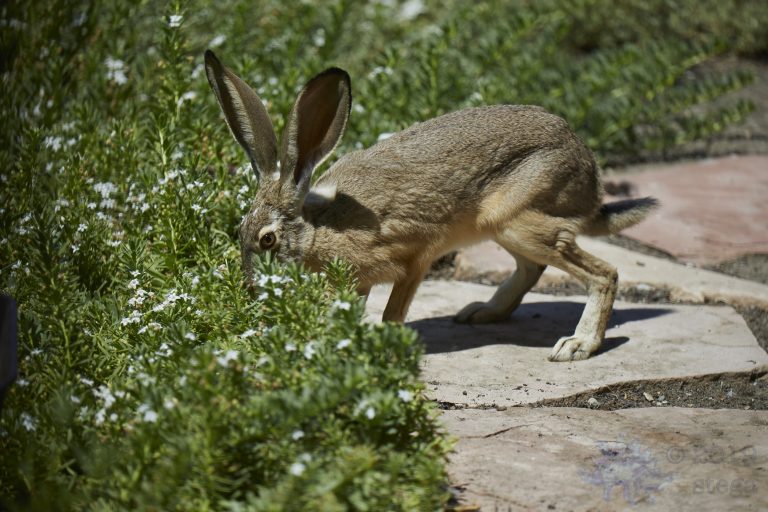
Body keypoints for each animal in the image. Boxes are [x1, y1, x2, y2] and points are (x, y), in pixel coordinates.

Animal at [204, 50, 657, 361]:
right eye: (239, 232)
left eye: (267, 240)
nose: (251, 289)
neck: (319, 225)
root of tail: (590, 176)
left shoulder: (413, 257)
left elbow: (393, 310)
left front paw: (383, 345)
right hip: (504, 227)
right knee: (532, 268)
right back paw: (480, 312)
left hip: (520, 220)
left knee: (603, 274)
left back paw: (578, 345)